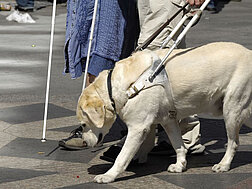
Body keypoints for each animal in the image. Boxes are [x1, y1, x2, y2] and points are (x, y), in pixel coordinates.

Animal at [76, 42, 252, 183]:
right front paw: (180, 165)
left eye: (84, 124)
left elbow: (122, 156)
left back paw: (224, 164)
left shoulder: (138, 127)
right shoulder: (169, 120)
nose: (84, 142)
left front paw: (109, 175)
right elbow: (178, 145)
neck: (125, 87)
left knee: (233, 143)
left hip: (232, 109)